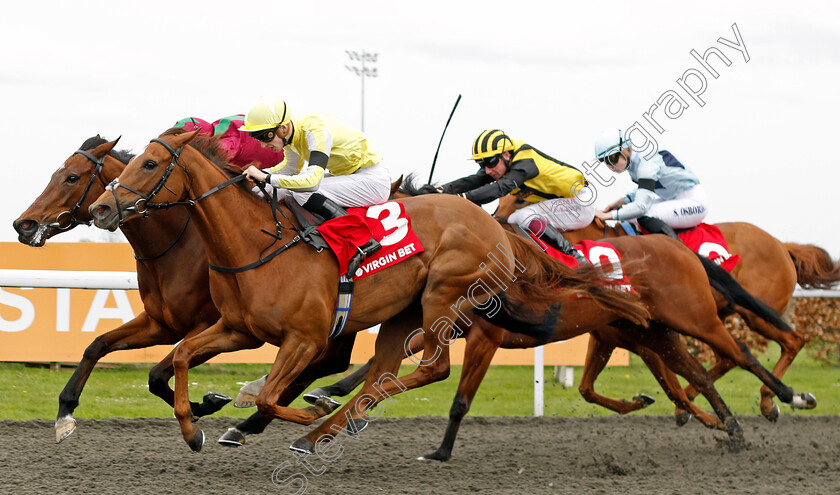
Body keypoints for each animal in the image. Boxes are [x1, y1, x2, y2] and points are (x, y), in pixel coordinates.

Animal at [13, 137, 360, 446]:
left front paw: (202, 406)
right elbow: (97, 346)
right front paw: (65, 414)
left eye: (72, 177)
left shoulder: (211, 324)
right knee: (332, 362)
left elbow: (157, 373)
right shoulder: (162, 324)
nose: (23, 225)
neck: (178, 248)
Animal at [88, 131, 648, 454]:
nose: (99, 209)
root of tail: (496, 227)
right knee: (383, 372)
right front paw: (194, 428)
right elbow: (183, 355)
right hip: (403, 313)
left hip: (443, 296)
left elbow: (269, 395)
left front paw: (292, 413)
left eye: (149, 165)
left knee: (429, 369)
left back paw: (321, 427)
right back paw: (325, 428)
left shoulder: (306, 337)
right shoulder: (236, 329)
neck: (256, 242)